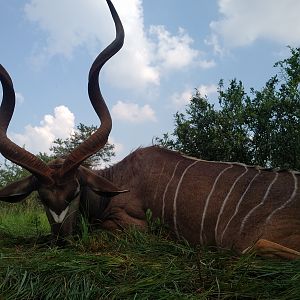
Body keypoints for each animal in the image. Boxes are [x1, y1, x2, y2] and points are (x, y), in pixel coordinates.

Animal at [0, 0, 300, 260]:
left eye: (74, 193)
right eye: (42, 197)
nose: (62, 240)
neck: (118, 181)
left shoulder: (129, 225)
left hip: (248, 243)